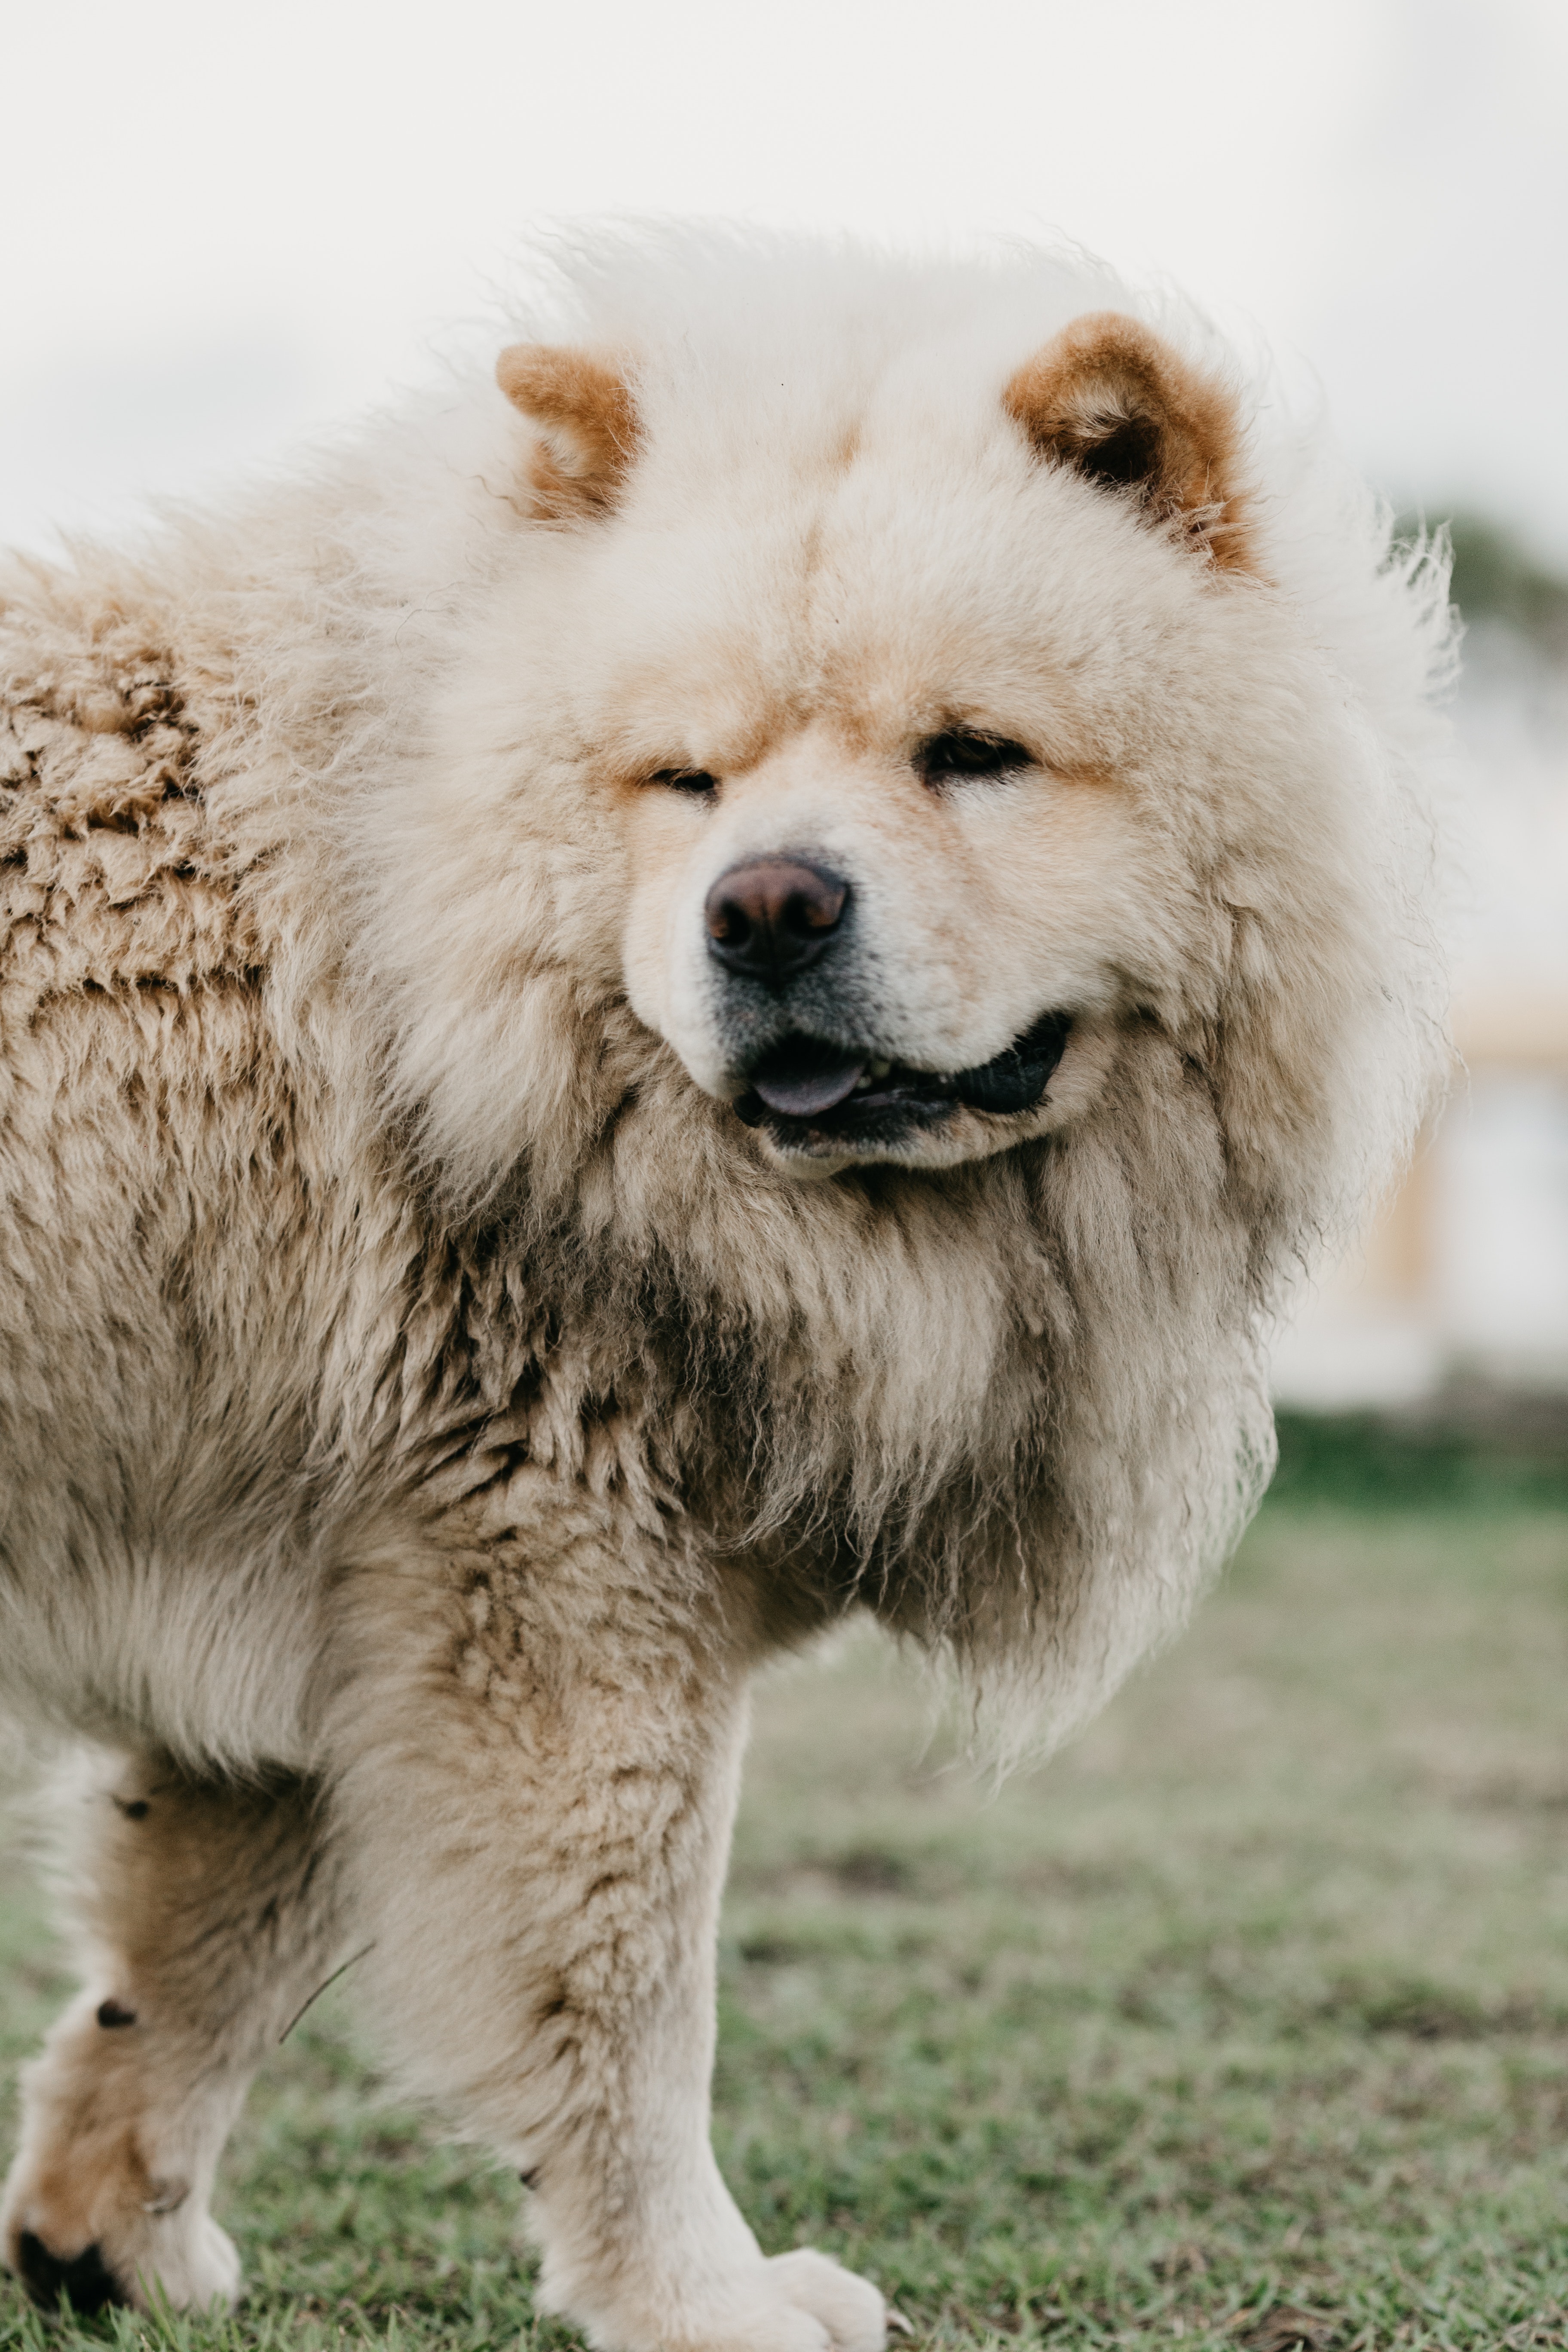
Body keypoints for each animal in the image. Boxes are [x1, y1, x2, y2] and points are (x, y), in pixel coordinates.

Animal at [0, 231, 1449, 2350]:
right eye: (684, 781)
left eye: (972, 754)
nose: (763, 904)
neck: (409, 931)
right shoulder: (559, 1596)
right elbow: (625, 1999)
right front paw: (702, 2292)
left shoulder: (340, 1598)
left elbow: (196, 1958)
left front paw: (105, 2232)